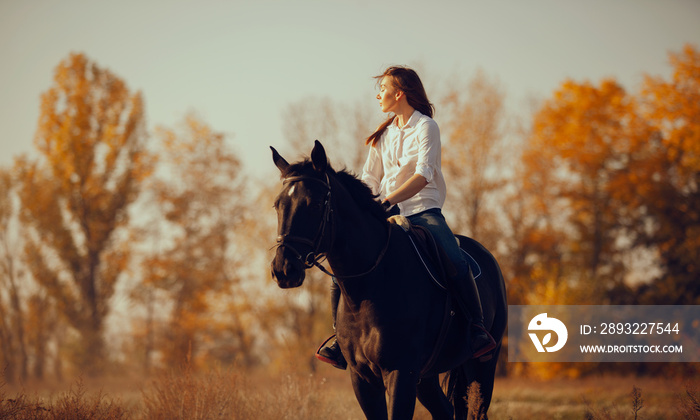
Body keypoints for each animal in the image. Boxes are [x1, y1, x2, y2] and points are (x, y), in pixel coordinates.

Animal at [270, 142, 506, 420]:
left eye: (316, 204)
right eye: (278, 205)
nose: (283, 269)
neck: (370, 286)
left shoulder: (400, 372)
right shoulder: (363, 378)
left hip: (482, 365)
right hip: (427, 378)